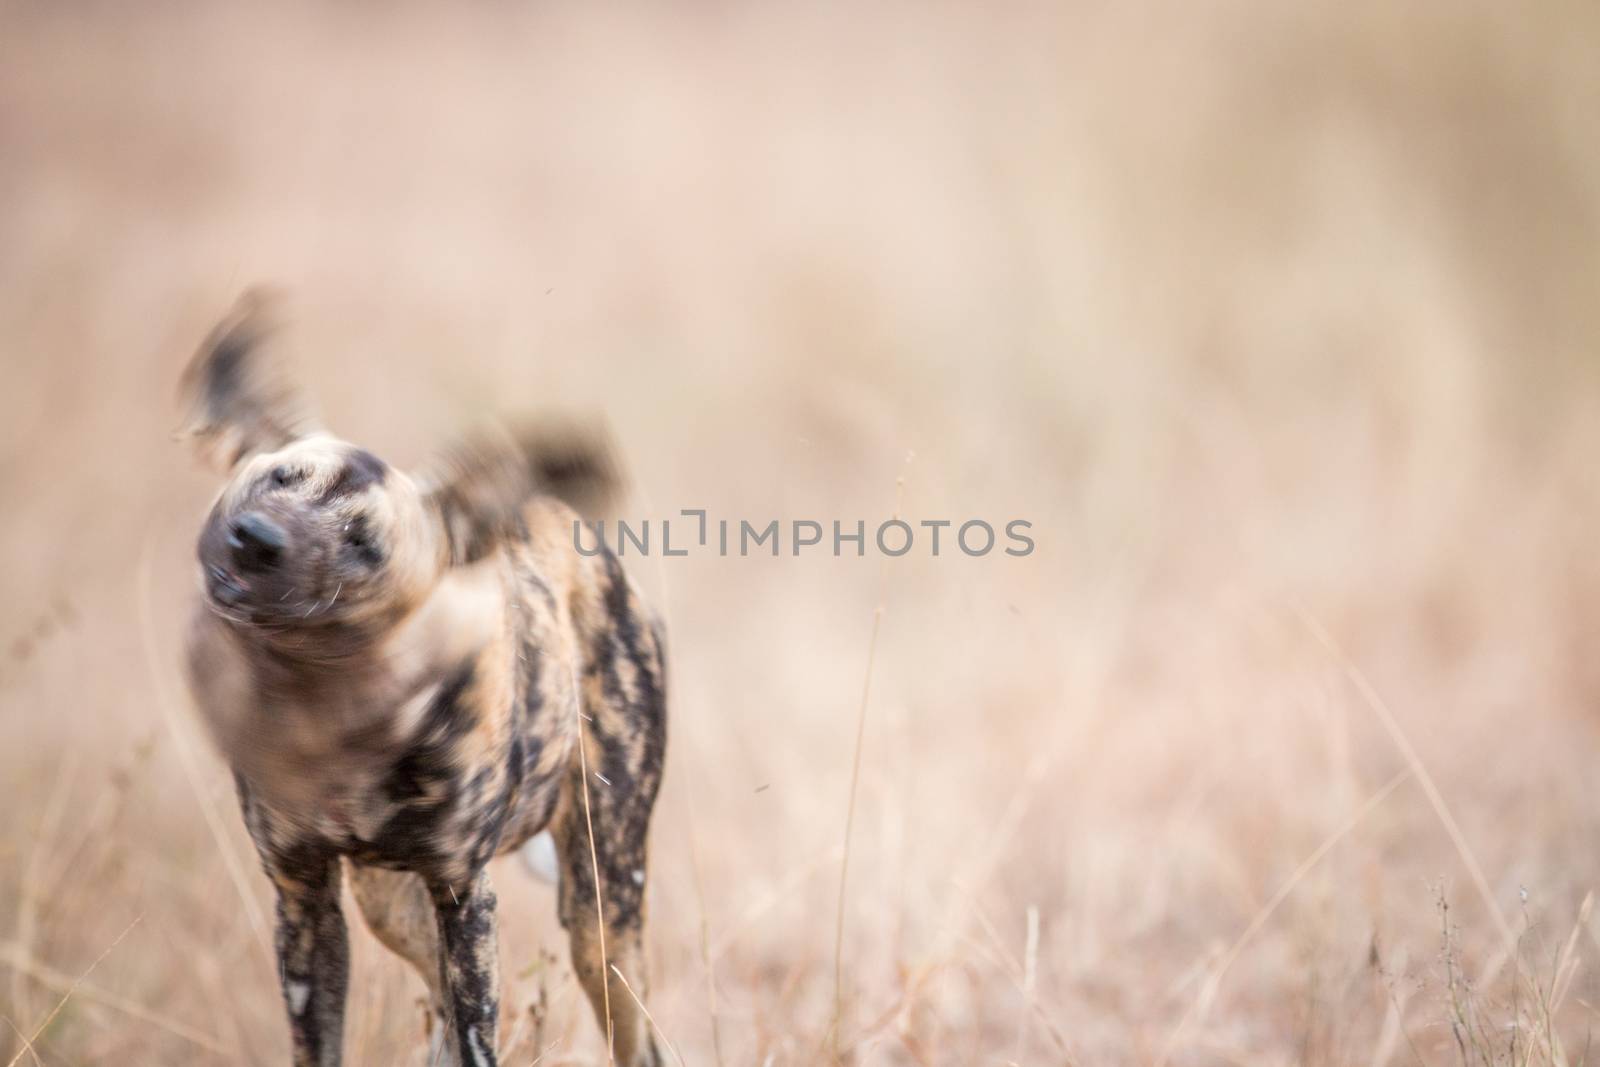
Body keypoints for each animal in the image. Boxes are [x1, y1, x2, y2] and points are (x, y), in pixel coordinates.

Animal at [178, 287, 665, 1062]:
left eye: (364, 544)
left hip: (602, 913)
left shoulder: (464, 894)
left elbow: (477, 1038)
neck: (331, 718)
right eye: (278, 476)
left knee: (633, 1030)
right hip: (388, 902)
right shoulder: (304, 894)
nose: (257, 541)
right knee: (434, 998)